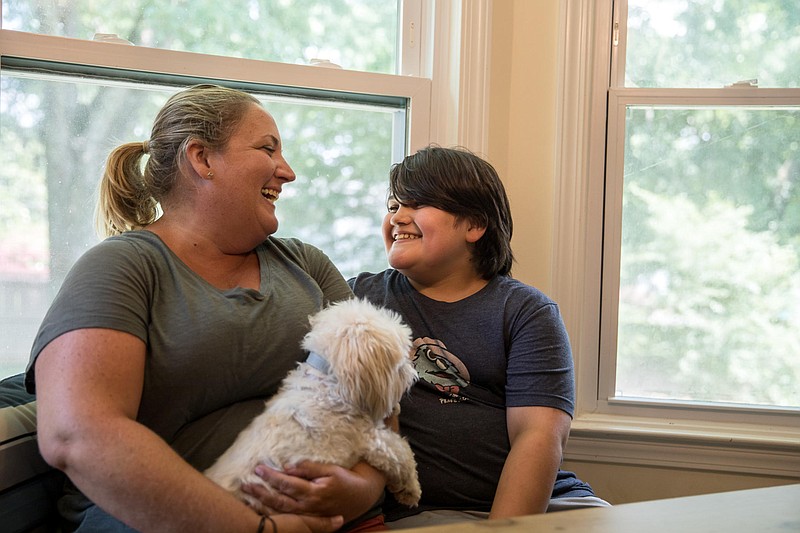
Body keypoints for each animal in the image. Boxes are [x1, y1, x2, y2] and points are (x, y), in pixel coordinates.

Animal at [203, 298, 422, 512]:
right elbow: (402, 453)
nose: (413, 375)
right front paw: (410, 490)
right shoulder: (370, 439)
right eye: (402, 355)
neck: (326, 379)